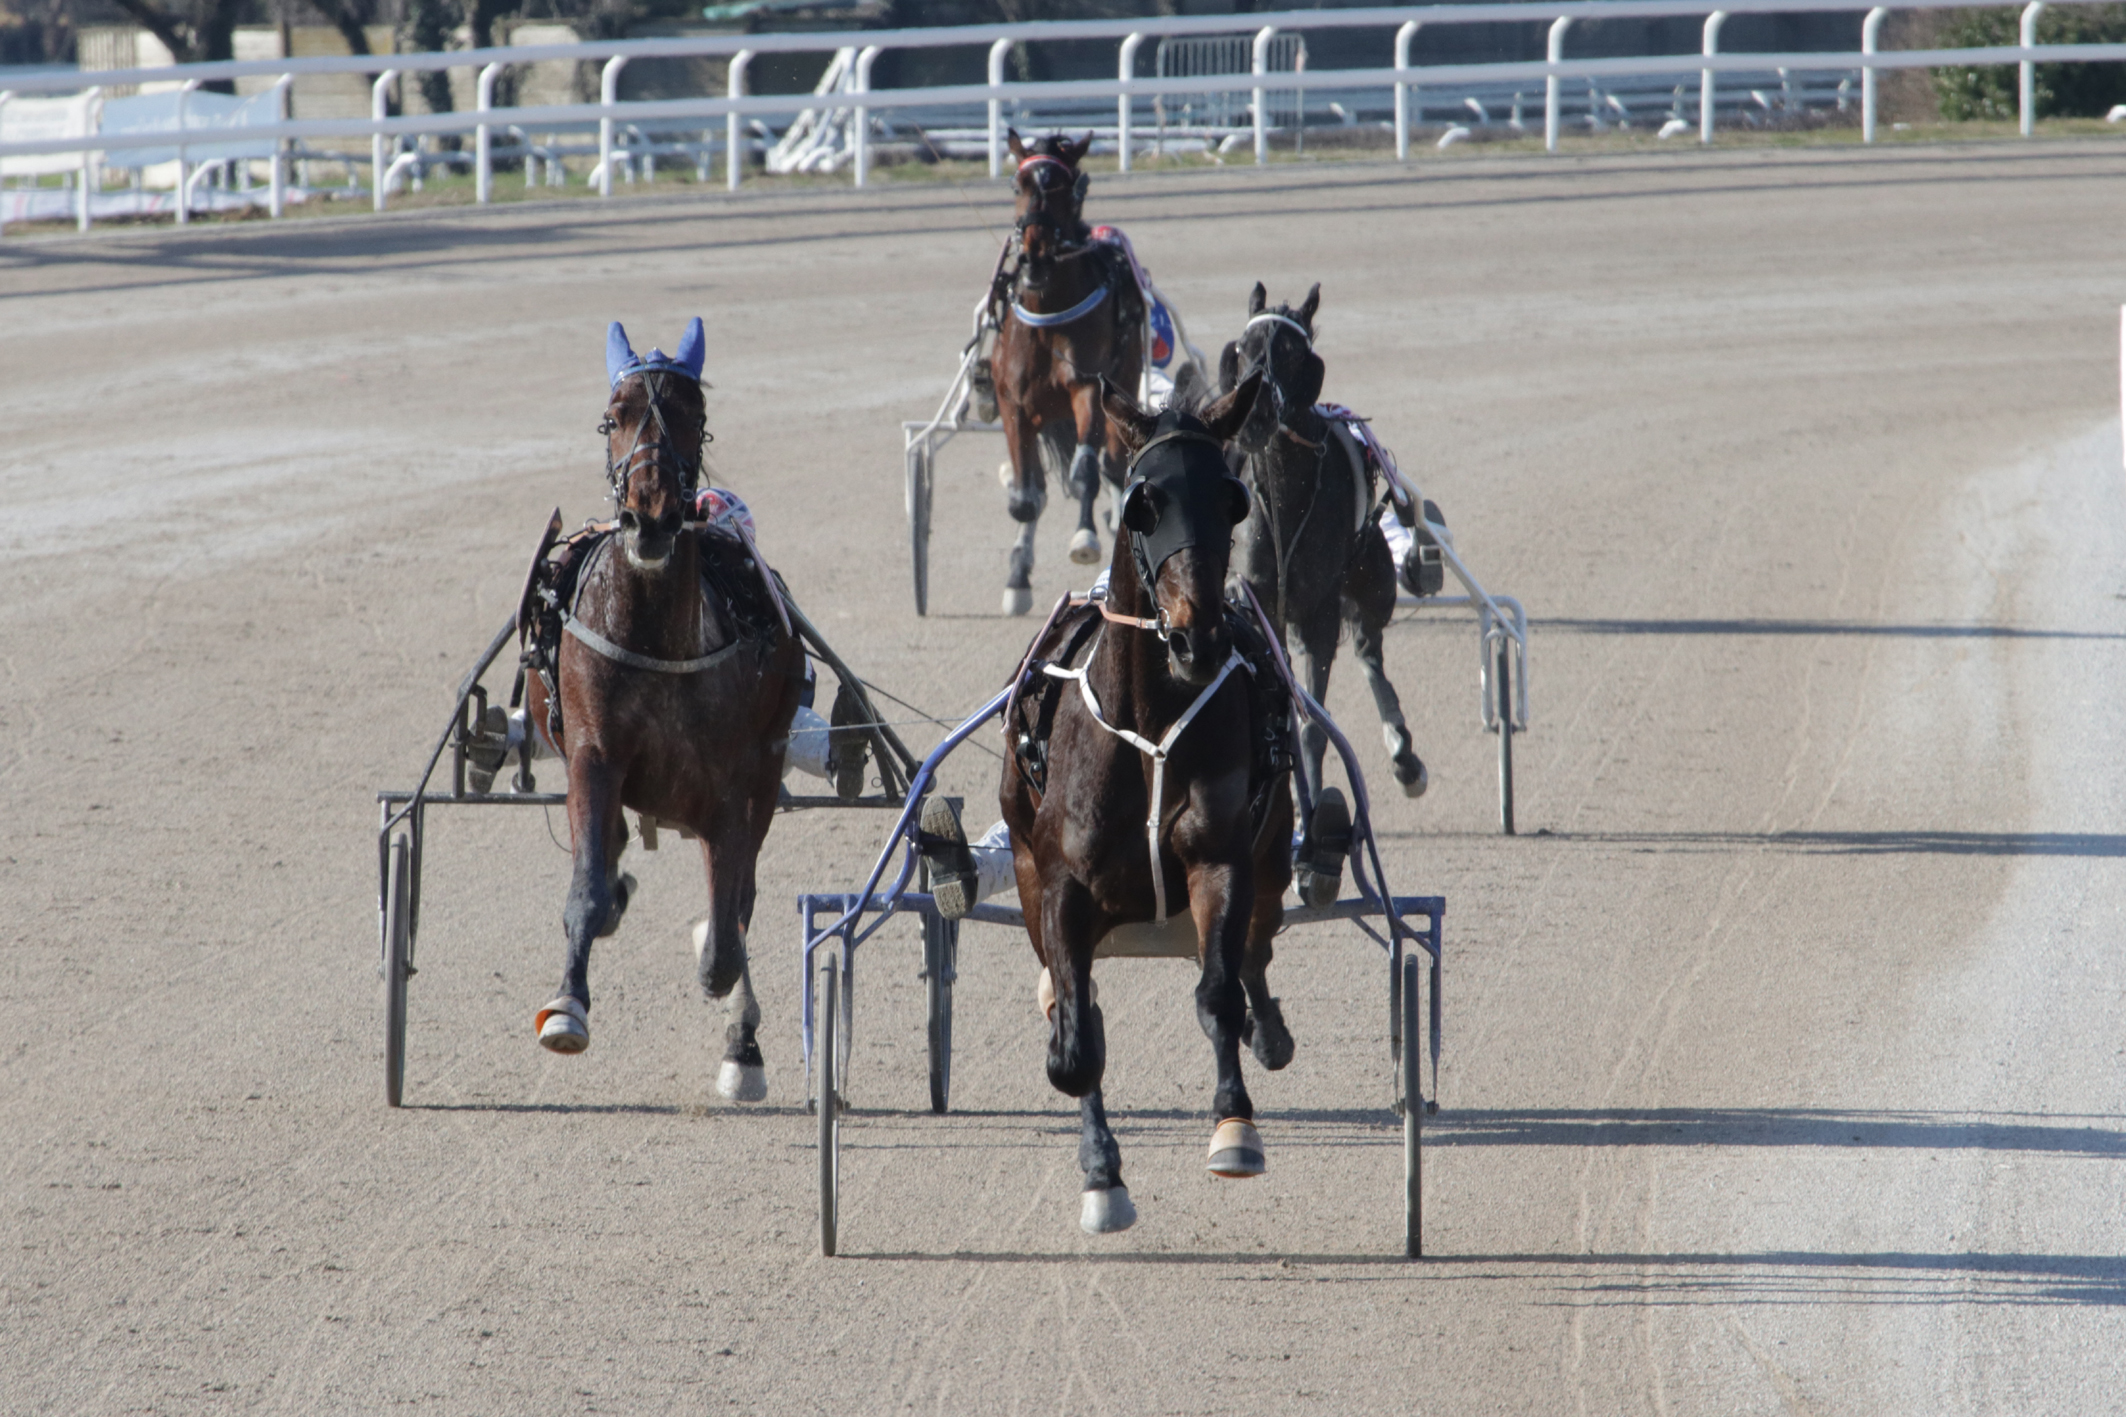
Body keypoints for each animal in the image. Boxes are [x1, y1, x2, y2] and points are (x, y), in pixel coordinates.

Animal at [520, 320, 803, 1104]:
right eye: (612, 417)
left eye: (692, 416)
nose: (649, 516)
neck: (654, 635)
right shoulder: (593, 753)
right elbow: (588, 888)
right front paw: (567, 1006)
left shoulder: (737, 780)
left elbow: (729, 930)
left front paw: (737, 1026)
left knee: (737, 896)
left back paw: (741, 1040)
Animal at [990, 131, 1148, 616]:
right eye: (1018, 184)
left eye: (1068, 190)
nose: (1034, 256)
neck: (1048, 314)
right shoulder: (1013, 403)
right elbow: (1026, 498)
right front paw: (1017, 578)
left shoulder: (1087, 389)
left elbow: (1086, 472)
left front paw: (1085, 538)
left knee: (1111, 465)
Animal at [994, 369, 1292, 1240]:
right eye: (1142, 503)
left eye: (1231, 497)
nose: (1198, 635)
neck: (1150, 725)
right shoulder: (1058, 882)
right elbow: (1076, 1043)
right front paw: (1102, 1173)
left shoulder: (1222, 859)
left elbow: (1220, 991)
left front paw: (1235, 1126)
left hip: (1275, 848)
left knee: (1255, 950)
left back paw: (1268, 1026)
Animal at [1224, 286, 1437, 905]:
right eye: (1243, 346)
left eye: (1293, 351)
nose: (1256, 413)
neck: (1285, 494)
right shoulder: (1260, 609)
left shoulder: (1317, 615)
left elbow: (1313, 730)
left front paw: (1312, 852)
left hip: (1370, 585)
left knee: (1370, 654)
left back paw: (1404, 754)